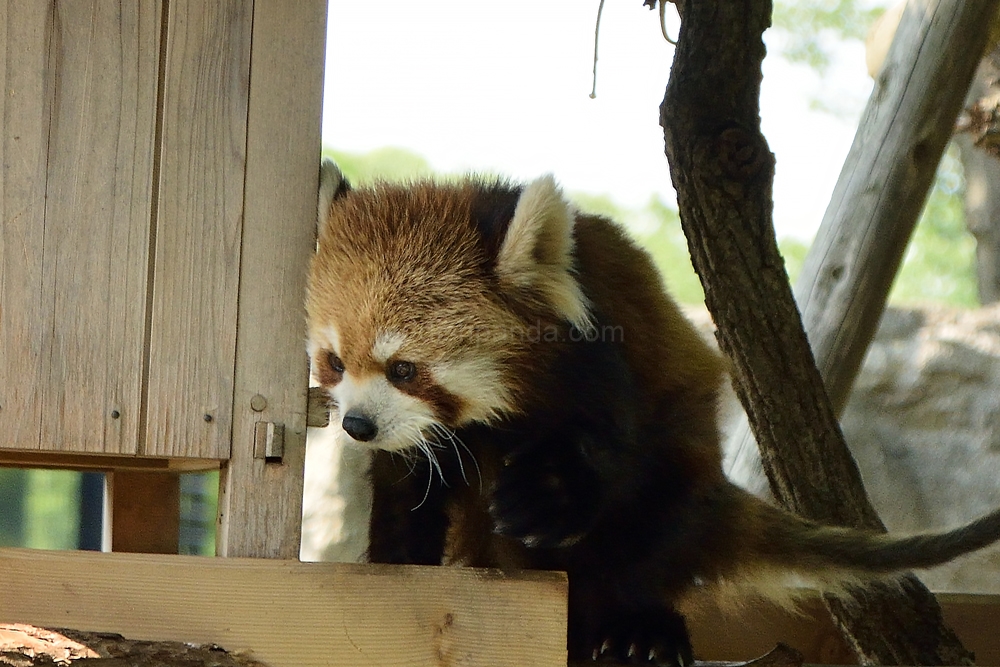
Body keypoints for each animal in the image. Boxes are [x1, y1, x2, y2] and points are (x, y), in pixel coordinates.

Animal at [308, 159, 1000, 664]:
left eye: (404, 368)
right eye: (335, 362)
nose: (359, 425)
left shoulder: (609, 363)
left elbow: (608, 454)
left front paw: (544, 496)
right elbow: (409, 493)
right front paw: (396, 568)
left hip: (678, 486)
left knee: (644, 528)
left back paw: (637, 627)